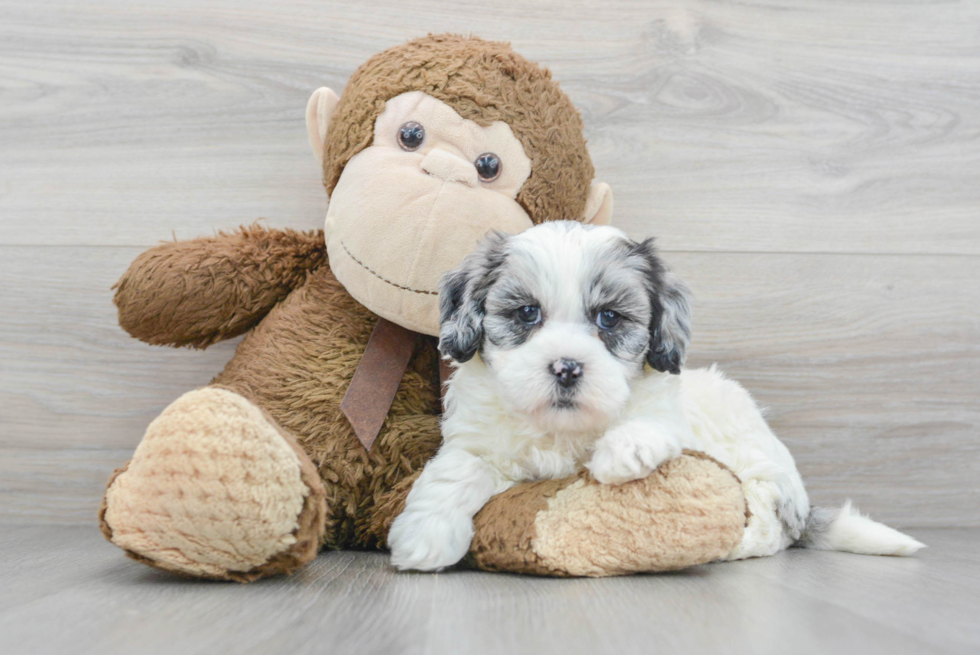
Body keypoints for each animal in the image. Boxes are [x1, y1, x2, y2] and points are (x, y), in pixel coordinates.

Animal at [386, 222, 924, 576]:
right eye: (526, 313)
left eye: (608, 318)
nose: (566, 367)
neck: (563, 429)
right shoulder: (478, 440)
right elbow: (458, 470)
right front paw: (425, 536)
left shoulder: (670, 410)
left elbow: (651, 418)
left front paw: (624, 450)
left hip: (757, 456)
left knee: (766, 518)